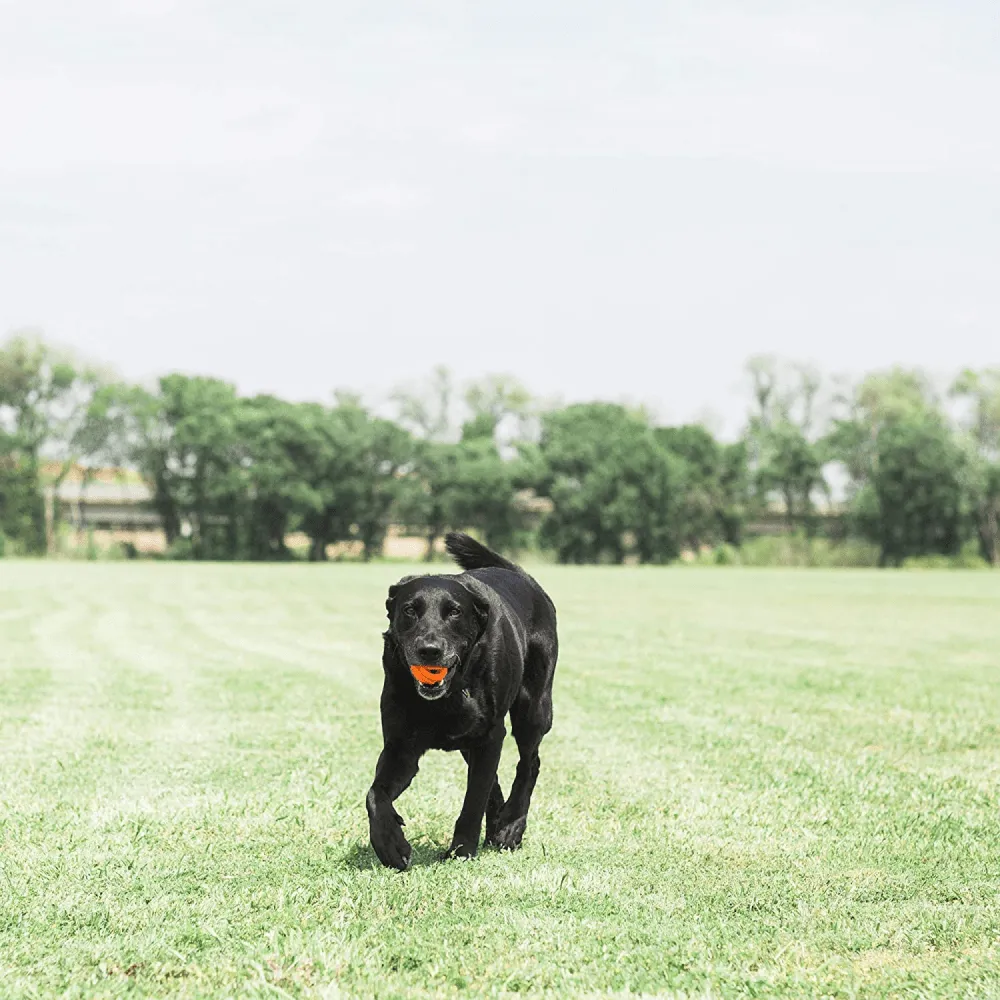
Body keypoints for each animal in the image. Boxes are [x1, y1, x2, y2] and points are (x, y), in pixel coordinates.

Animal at [368, 532, 560, 868]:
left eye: (454, 612)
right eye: (409, 610)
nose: (429, 650)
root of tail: (521, 574)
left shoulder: (491, 734)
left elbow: (472, 802)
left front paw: (461, 851)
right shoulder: (401, 746)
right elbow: (375, 795)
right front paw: (390, 844)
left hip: (533, 709)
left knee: (529, 763)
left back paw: (510, 827)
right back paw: (497, 825)